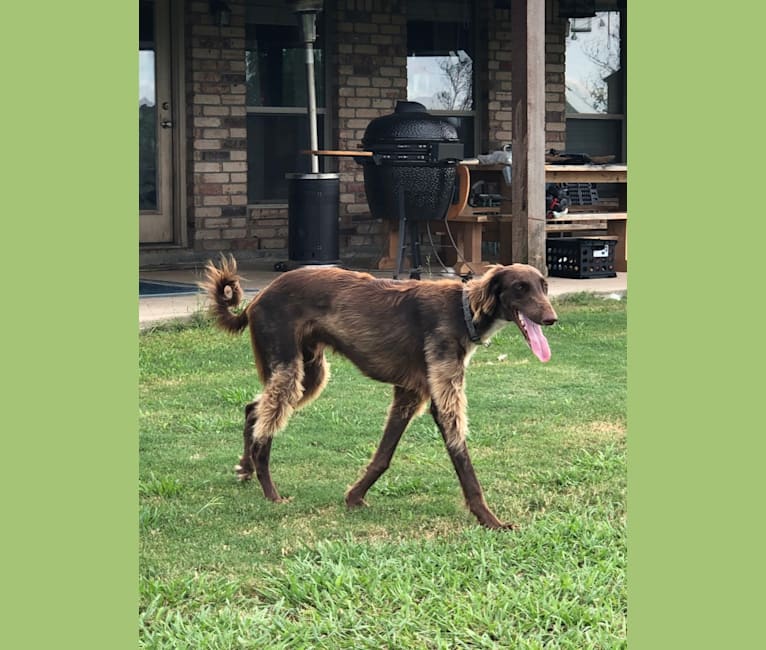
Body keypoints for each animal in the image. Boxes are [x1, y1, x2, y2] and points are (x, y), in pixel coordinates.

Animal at [201, 253, 556, 528]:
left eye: (544, 286)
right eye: (520, 288)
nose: (551, 318)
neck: (463, 310)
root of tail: (257, 299)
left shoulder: (409, 394)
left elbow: (383, 455)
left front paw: (354, 497)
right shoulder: (443, 400)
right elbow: (464, 465)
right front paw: (489, 520)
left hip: (309, 373)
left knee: (253, 409)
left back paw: (245, 467)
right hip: (290, 370)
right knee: (265, 430)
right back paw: (270, 492)